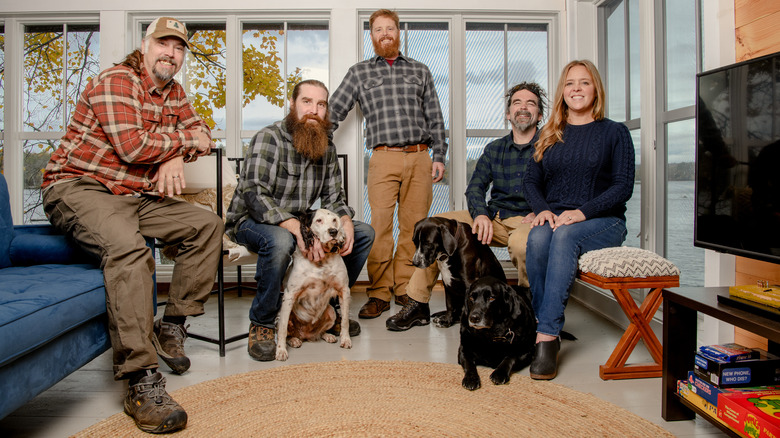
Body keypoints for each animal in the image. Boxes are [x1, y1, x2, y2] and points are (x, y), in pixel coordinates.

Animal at [272, 210, 348, 362]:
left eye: (334, 220)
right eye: (318, 220)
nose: (333, 231)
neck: (322, 261)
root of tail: (305, 335)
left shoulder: (344, 290)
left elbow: (345, 321)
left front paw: (346, 340)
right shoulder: (290, 295)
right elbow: (283, 329)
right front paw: (281, 351)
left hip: (331, 311)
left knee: (320, 333)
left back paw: (328, 336)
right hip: (280, 314)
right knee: (287, 332)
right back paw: (294, 340)